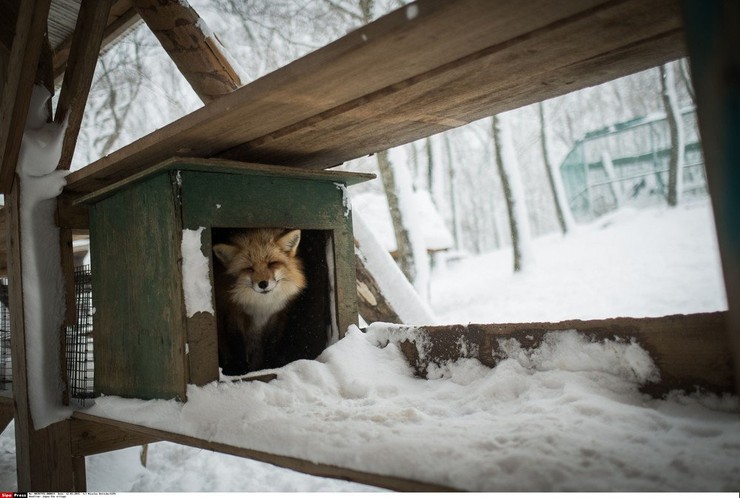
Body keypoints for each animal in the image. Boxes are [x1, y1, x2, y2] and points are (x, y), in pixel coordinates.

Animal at [212, 229, 308, 374]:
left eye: (272, 263)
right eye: (249, 268)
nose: (263, 284)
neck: (262, 306)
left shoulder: (276, 317)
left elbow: (271, 343)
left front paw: (268, 366)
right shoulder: (233, 315)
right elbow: (237, 344)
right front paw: (240, 368)